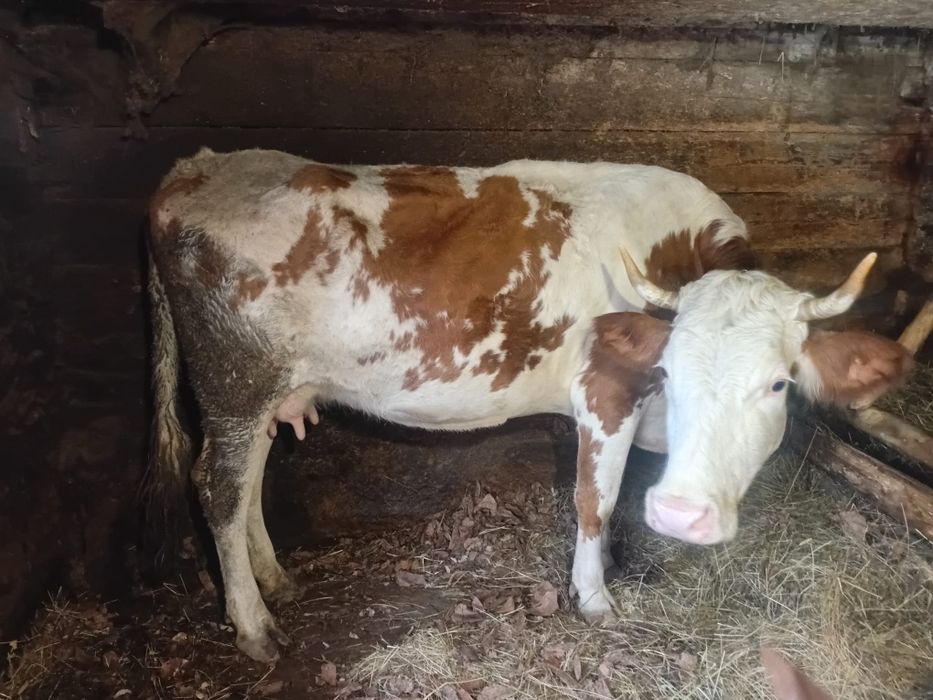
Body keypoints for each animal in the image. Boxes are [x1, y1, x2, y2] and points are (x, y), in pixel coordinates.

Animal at [147, 149, 911, 662]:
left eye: (778, 383)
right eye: (670, 369)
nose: (685, 516)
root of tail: (199, 167)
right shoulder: (605, 392)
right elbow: (594, 499)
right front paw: (595, 598)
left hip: (262, 391)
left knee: (247, 484)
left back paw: (276, 581)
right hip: (235, 380)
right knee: (218, 487)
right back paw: (253, 627)